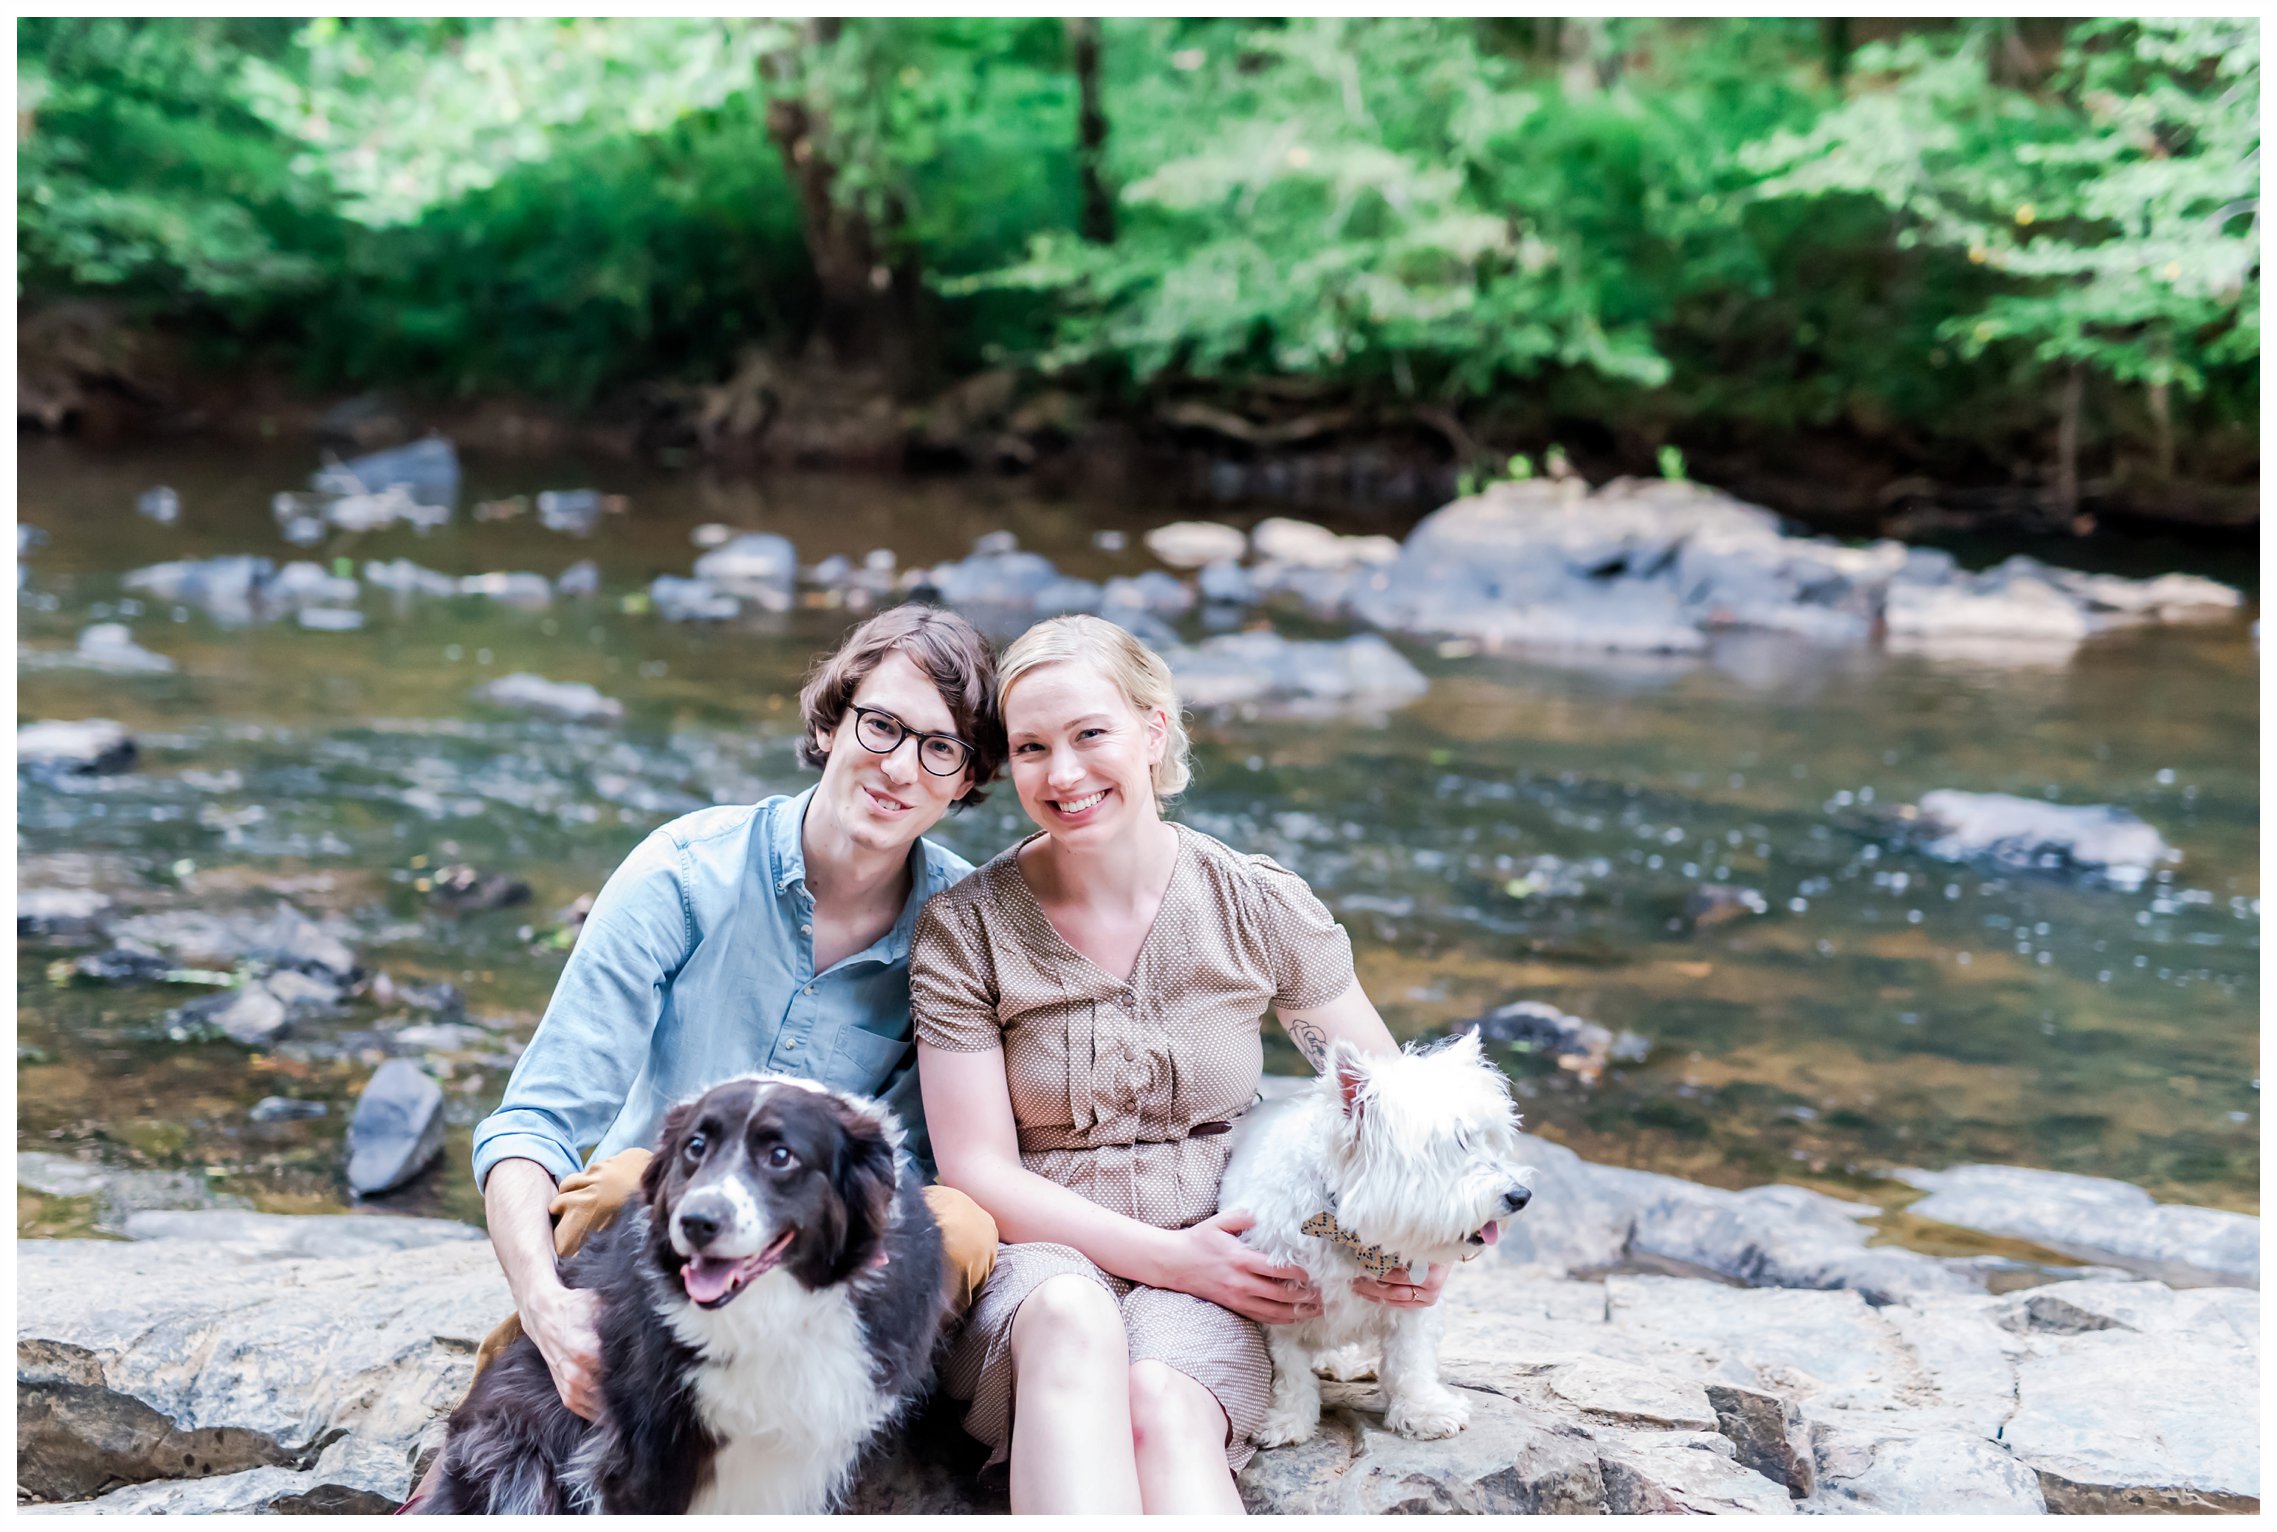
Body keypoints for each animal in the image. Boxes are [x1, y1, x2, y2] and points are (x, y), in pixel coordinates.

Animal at [414, 1069, 947, 1511]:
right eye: (695, 1147)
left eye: (781, 1156)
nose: (695, 1222)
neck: (769, 1315)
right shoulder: (642, 1457)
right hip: (514, 1462)